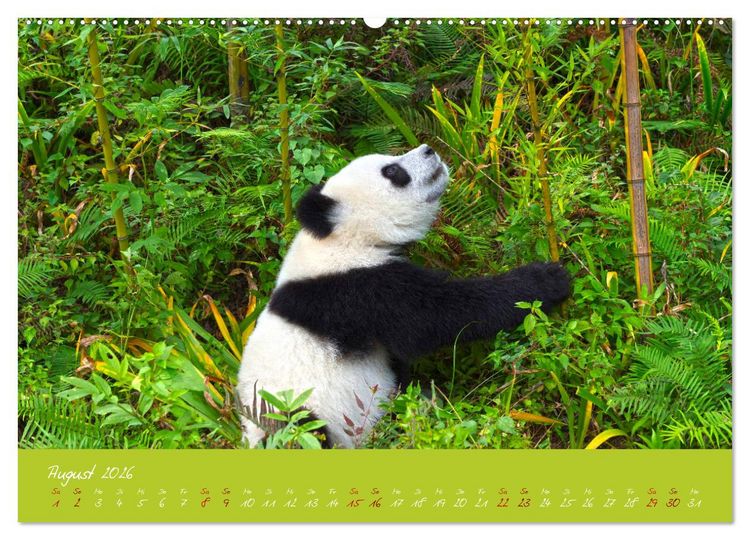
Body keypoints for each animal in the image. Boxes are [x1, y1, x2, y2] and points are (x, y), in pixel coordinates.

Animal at [236, 144, 570, 448]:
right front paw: (547, 280)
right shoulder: (354, 291)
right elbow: (437, 317)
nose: (428, 150)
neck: (341, 239)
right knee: (303, 427)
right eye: (392, 171)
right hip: (292, 418)